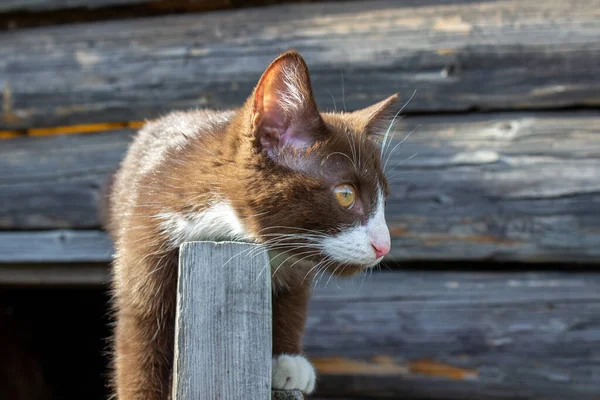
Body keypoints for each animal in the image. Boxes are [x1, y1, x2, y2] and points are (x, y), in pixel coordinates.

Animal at [105, 50, 396, 400]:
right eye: (345, 194)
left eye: (384, 199)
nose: (384, 245)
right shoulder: (147, 231)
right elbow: (140, 331)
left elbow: (293, 299)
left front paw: (286, 361)